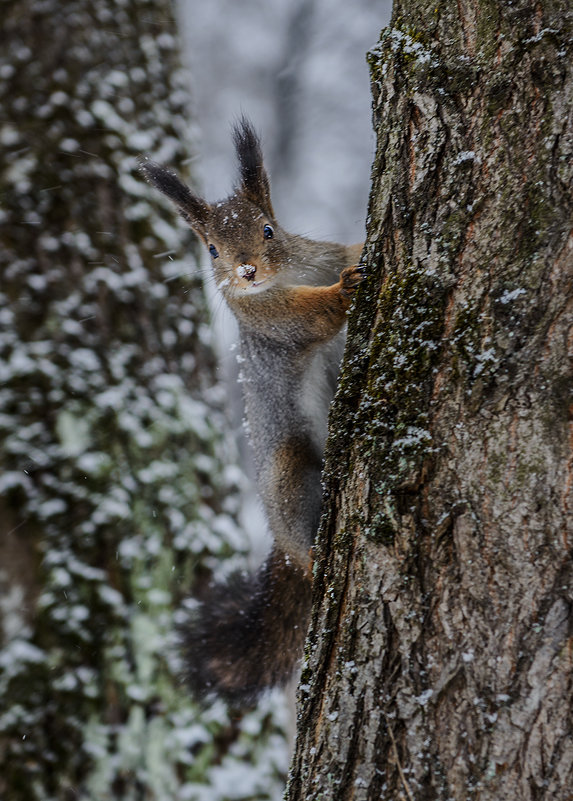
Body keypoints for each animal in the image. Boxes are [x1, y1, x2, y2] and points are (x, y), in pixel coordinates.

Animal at [140, 115, 362, 704]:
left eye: (267, 230)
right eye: (212, 250)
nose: (246, 272)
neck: (287, 276)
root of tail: (281, 547)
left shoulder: (322, 253)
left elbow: (348, 250)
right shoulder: (270, 321)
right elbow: (311, 317)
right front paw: (342, 294)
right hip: (287, 477)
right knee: (306, 548)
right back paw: (317, 555)